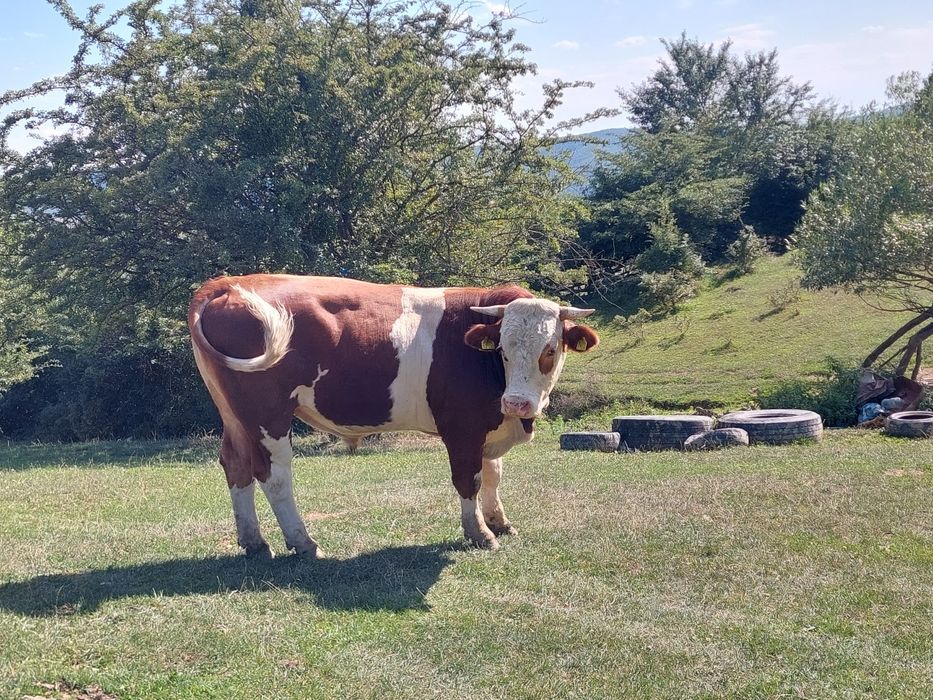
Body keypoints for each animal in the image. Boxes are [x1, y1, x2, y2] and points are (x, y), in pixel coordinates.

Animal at [188, 275, 599, 557]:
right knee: (273, 475)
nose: (516, 403)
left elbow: (494, 475)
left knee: (236, 464)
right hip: (267, 414)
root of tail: (229, 283)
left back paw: (254, 542)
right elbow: (469, 479)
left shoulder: (487, 426)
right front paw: (480, 534)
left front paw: (499, 521)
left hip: (234, 415)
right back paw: (304, 542)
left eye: (550, 349)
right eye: (503, 349)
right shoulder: (462, 427)